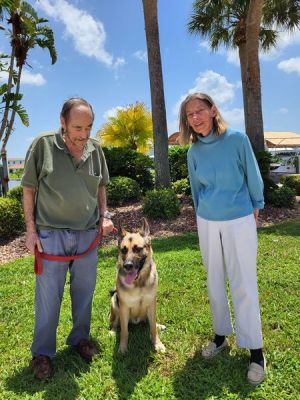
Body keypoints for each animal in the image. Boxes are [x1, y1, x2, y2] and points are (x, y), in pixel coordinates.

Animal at [110, 219, 165, 354]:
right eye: (123, 250)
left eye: (137, 249)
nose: (127, 266)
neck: (139, 283)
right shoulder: (124, 308)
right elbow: (124, 331)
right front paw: (122, 347)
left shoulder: (151, 305)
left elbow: (152, 328)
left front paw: (157, 343)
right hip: (114, 302)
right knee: (115, 322)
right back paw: (113, 331)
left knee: (151, 323)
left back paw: (159, 325)